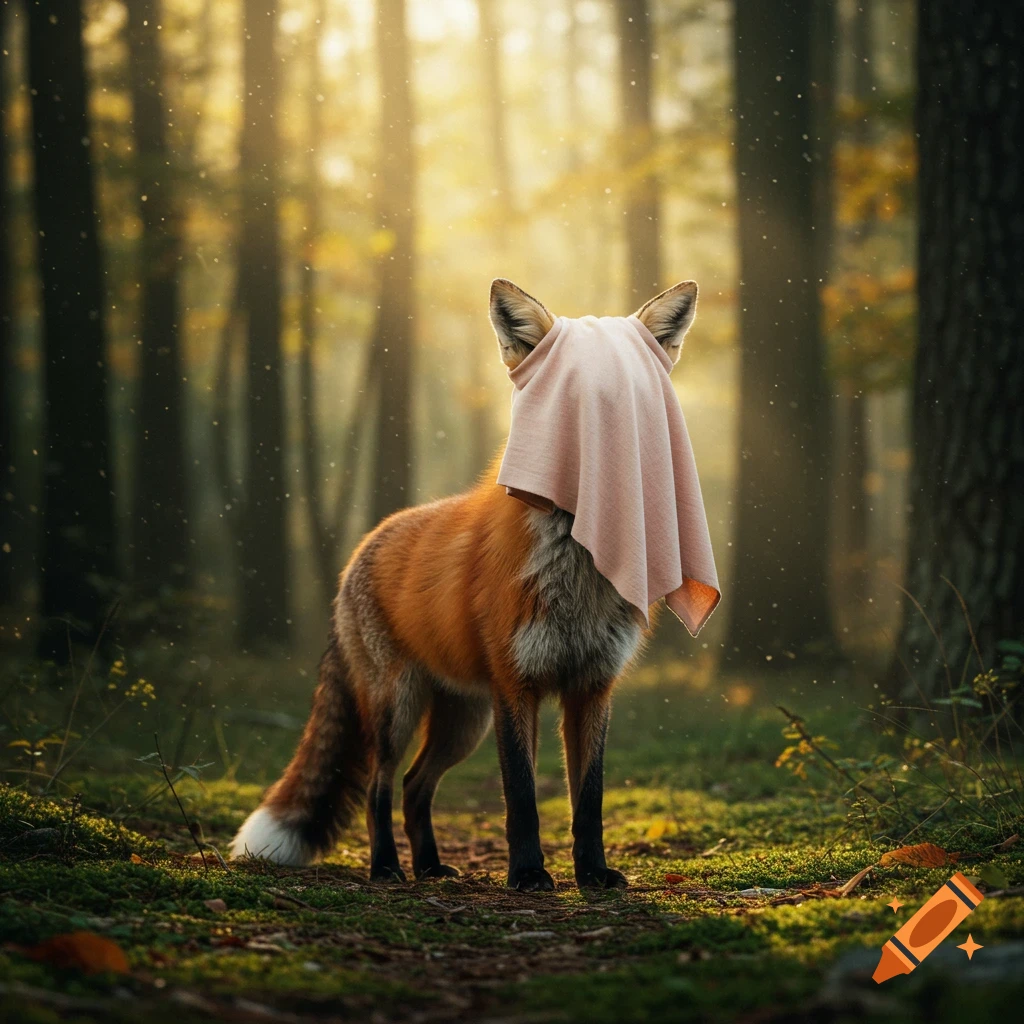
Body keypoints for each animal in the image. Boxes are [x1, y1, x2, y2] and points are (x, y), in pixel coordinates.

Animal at [230, 277, 701, 890]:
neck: (575, 581)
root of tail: (359, 550)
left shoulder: (592, 686)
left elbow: (589, 800)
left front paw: (593, 873)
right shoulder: (516, 686)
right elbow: (521, 796)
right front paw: (527, 874)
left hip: (463, 722)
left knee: (414, 787)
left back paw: (430, 866)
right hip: (400, 708)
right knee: (380, 788)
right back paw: (387, 868)